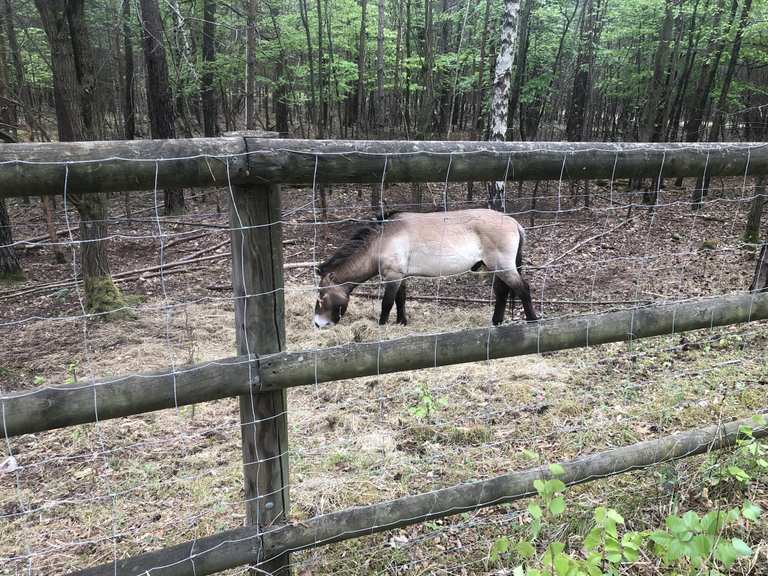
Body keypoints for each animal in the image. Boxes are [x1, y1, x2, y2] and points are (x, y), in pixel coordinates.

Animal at [310, 209, 536, 328]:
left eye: (321, 297)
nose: (318, 323)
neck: (382, 240)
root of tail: (514, 222)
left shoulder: (393, 277)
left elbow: (387, 303)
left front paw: (382, 326)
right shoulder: (401, 276)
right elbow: (400, 300)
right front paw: (402, 322)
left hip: (503, 268)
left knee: (523, 289)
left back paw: (532, 321)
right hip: (496, 269)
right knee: (502, 292)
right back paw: (496, 322)